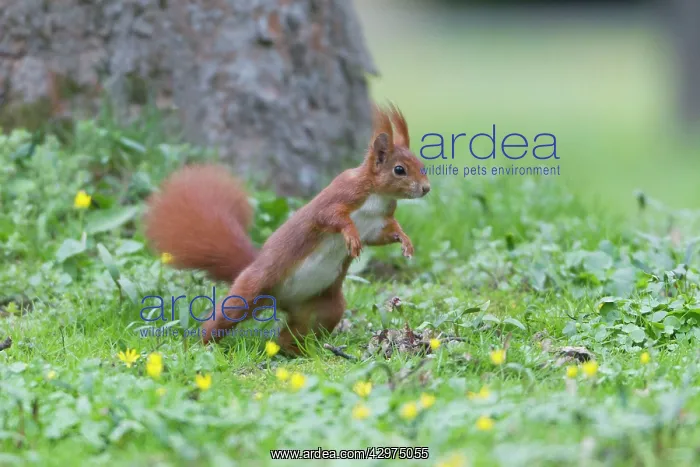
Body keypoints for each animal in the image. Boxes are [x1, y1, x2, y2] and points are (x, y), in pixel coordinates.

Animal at [143, 103, 431, 354]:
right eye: (399, 170)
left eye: (421, 165)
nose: (426, 189)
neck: (377, 196)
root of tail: (279, 299)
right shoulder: (338, 198)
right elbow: (333, 218)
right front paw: (350, 235)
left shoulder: (378, 223)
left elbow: (384, 234)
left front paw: (405, 241)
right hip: (249, 291)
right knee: (221, 319)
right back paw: (202, 345)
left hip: (325, 308)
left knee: (291, 332)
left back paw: (293, 350)